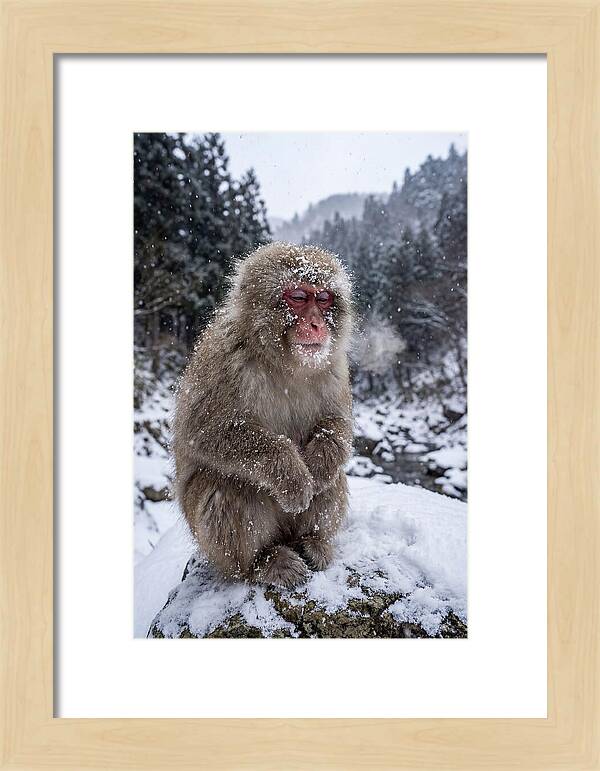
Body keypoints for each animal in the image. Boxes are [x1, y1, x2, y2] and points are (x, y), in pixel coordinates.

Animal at [173, 242, 354, 588]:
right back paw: (262, 563)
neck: (284, 363)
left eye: (324, 298)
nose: (316, 324)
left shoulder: (335, 366)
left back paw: (313, 541)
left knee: (334, 477)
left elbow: (337, 424)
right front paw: (293, 475)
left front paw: (319, 465)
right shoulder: (223, 359)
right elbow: (202, 432)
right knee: (227, 486)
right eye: (298, 297)